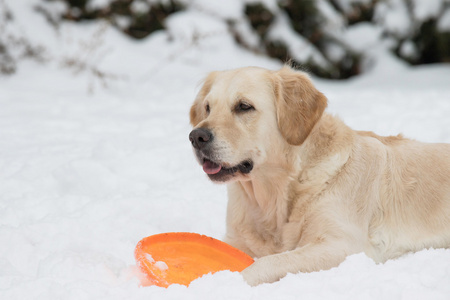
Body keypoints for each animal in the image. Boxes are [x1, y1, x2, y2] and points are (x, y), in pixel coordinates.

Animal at [187, 65, 450, 286]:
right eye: (208, 108)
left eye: (243, 106)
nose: (196, 137)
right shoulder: (236, 239)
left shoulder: (342, 245)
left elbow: (269, 262)